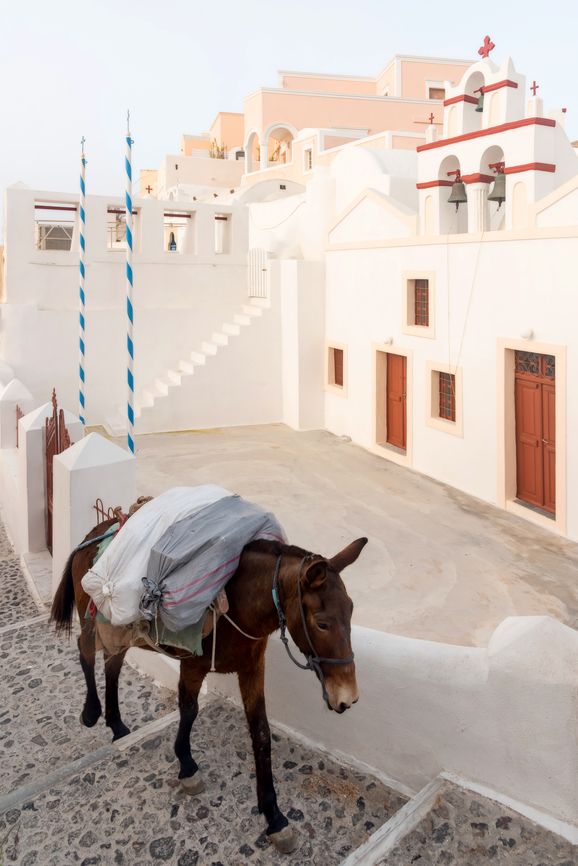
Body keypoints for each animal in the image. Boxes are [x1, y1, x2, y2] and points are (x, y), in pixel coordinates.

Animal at [50, 516, 367, 854]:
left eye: (351, 611)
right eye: (322, 623)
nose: (347, 697)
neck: (237, 601)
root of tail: (95, 532)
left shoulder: (252, 669)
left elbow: (261, 734)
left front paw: (274, 817)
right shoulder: (193, 664)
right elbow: (189, 710)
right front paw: (187, 766)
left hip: (120, 631)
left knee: (112, 665)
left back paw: (117, 725)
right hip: (94, 620)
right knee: (86, 651)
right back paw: (91, 713)